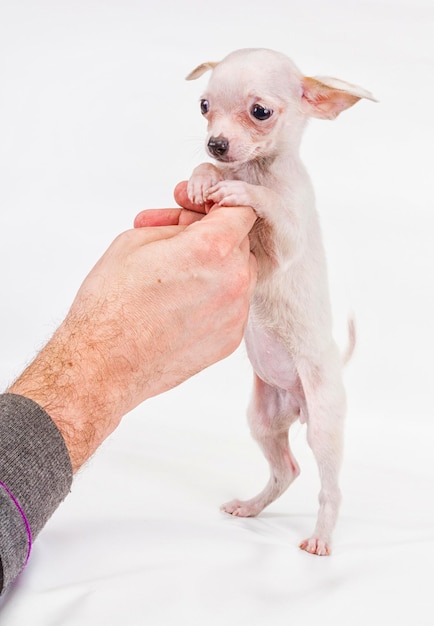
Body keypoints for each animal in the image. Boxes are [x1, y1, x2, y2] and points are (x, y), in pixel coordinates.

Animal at [186, 50, 372, 556]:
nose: (215, 145)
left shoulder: (287, 238)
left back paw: (322, 537)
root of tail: (297, 403)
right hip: (263, 419)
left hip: (323, 423)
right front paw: (201, 178)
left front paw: (243, 192)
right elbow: (209, 178)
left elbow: (267, 202)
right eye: (204, 105)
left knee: (330, 487)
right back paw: (251, 507)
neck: (256, 168)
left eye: (260, 112)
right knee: (286, 470)